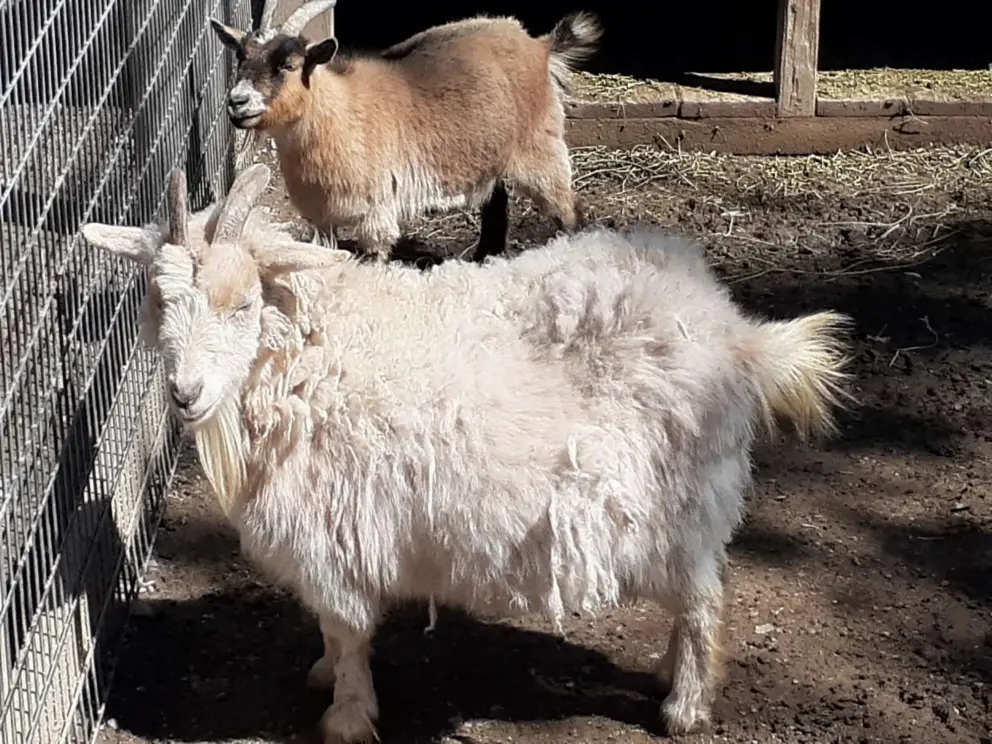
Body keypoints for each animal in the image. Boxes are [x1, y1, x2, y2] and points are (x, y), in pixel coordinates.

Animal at [81, 164, 852, 743]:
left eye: (242, 303)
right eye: (158, 300)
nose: (185, 393)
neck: (310, 357)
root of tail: (739, 336)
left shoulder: (333, 535)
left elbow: (347, 630)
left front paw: (347, 716)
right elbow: (333, 634)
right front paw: (325, 677)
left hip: (682, 504)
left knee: (703, 599)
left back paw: (684, 707)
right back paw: (668, 677)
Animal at [209, 2, 602, 263]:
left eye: (288, 66)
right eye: (241, 58)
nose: (237, 102)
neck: (340, 114)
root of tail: (540, 45)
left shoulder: (375, 214)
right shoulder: (322, 219)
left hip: (540, 148)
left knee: (570, 209)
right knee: (496, 202)